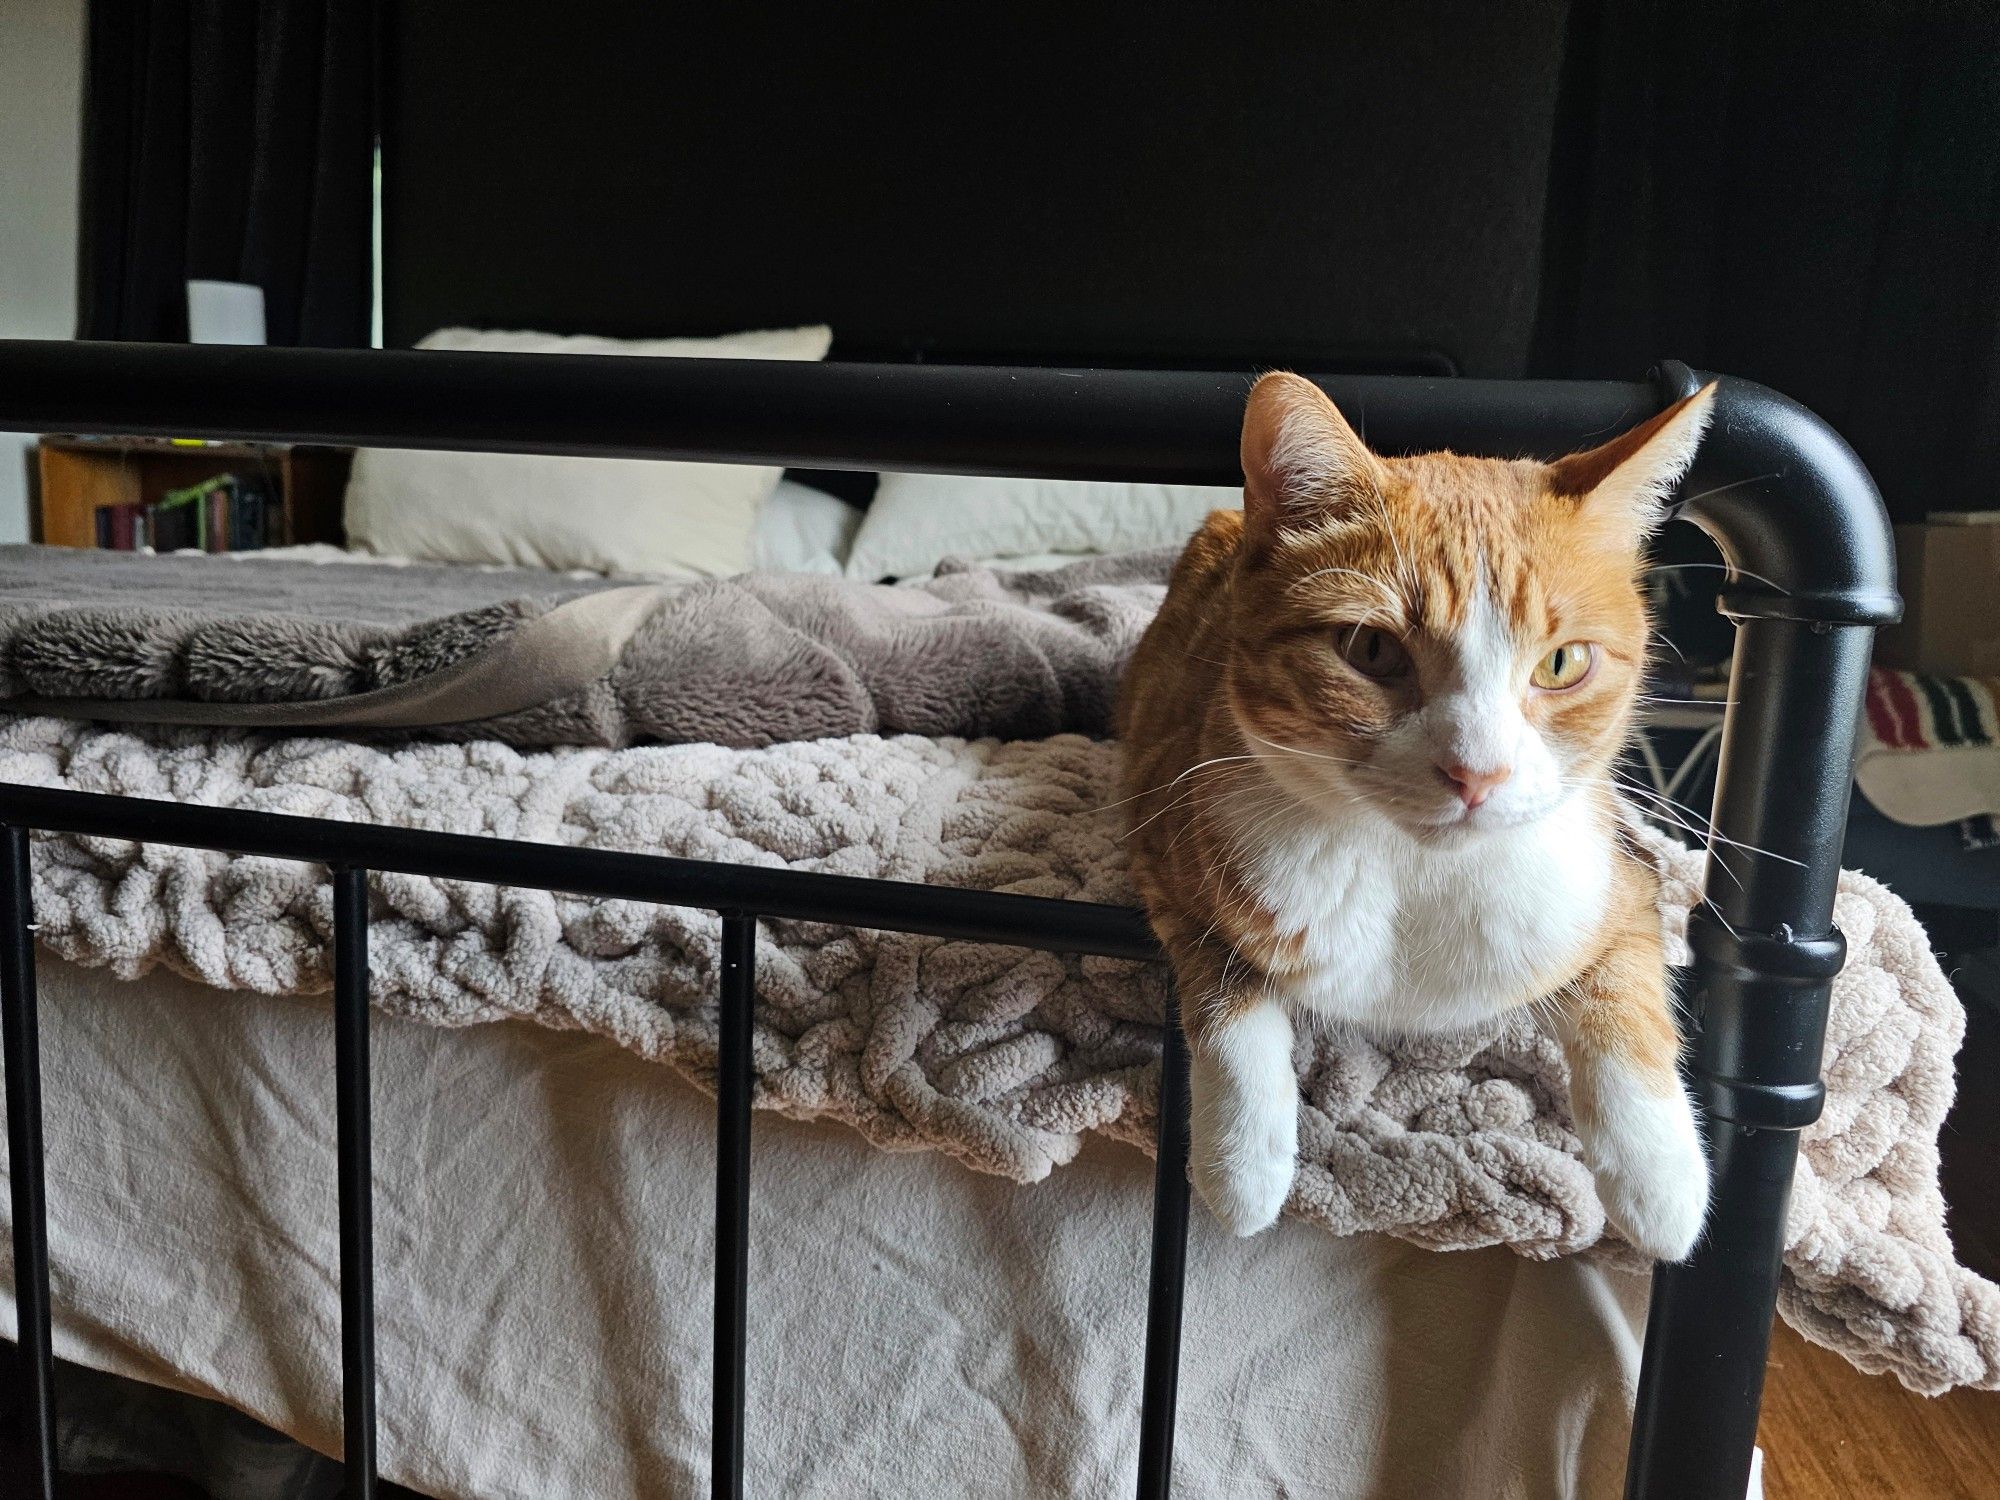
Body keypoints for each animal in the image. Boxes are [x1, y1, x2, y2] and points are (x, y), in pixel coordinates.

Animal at [1120, 370, 1712, 1264]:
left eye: (1562, 663)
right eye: (1370, 651)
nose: (1477, 772)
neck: (1420, 878)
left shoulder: (1625, 883)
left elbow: (1626, 1002)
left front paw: (1660, 1178)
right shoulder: (1168, 843)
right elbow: (1226, 995)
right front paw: (1241, 1161)